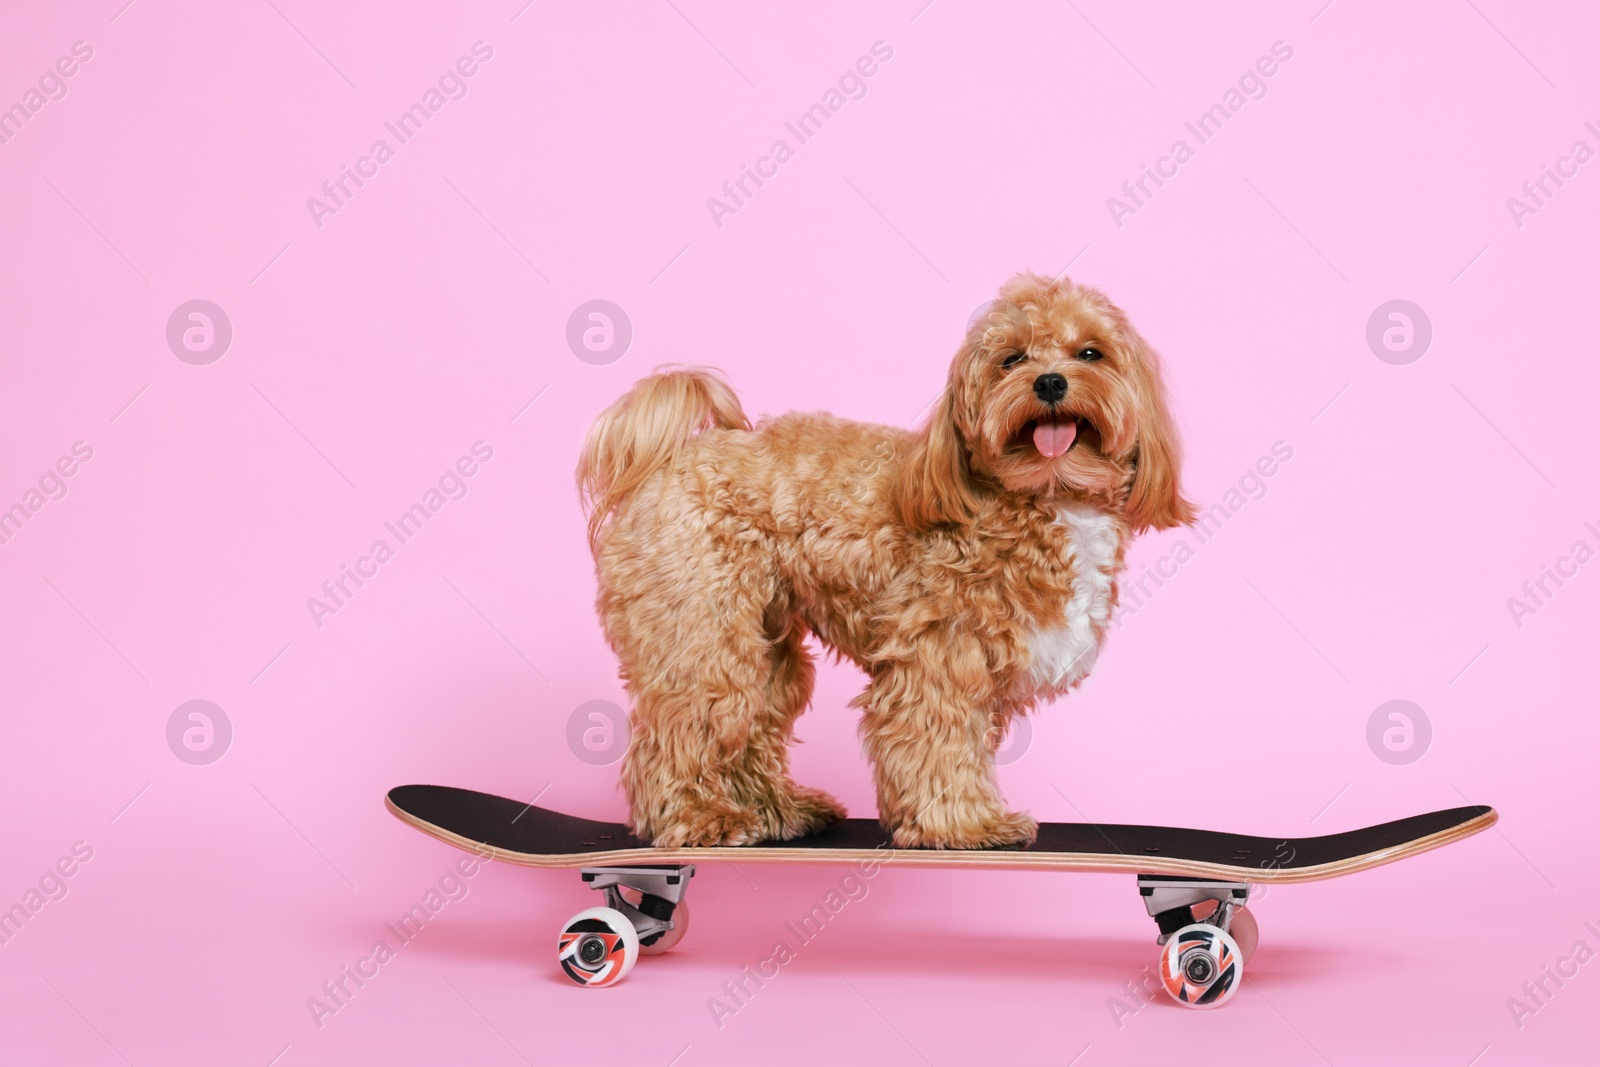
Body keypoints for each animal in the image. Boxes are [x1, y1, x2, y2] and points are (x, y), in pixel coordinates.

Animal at [582, 275, 1196, 851]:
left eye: (1091, 353)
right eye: (1011, 359)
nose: (1049, 382)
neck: (1041, 496)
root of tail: (671, 457)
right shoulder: (939, 653)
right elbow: (940, 742)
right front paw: (968, 825)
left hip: (766, 645)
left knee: (752, 724)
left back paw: (779, 811)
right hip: (701, 633)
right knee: (682, 728)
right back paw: (699, 817)